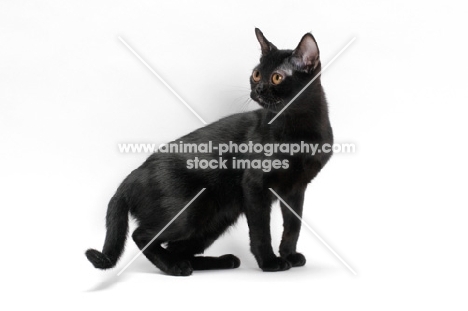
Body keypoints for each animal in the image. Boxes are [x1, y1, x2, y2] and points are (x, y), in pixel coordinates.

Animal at [85, 29, 332, 276]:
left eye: (277, 78)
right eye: (256, 74)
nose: (258, 89)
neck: (298, 128)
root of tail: (133, 176)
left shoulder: (296, 188)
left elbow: (293, 226)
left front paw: (289, 255)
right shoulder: (255, 186)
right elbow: (261, 231)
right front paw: (270, 262)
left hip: (217, 218)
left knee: (178, 248)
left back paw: (219, 261)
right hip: (191, 212)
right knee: (143, 236)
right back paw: (175, 268)